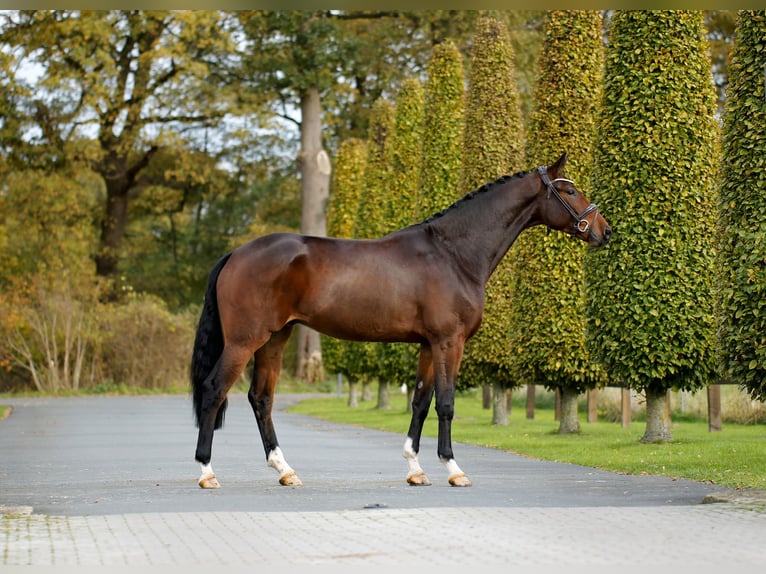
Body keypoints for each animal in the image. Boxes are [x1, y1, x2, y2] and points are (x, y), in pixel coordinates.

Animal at [190, 153, 611, 489]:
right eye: (570, 190)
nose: (604, 231)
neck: (453, 253)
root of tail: (237, 253)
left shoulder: (428, 344)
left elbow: (421, 402)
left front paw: (416, 469)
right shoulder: (449, 341)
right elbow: (446, 403)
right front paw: (454, 469)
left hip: (275, 338)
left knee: (261, 398)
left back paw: (285, 470)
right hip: (245, 341)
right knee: (214, 390)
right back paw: (207, 473)